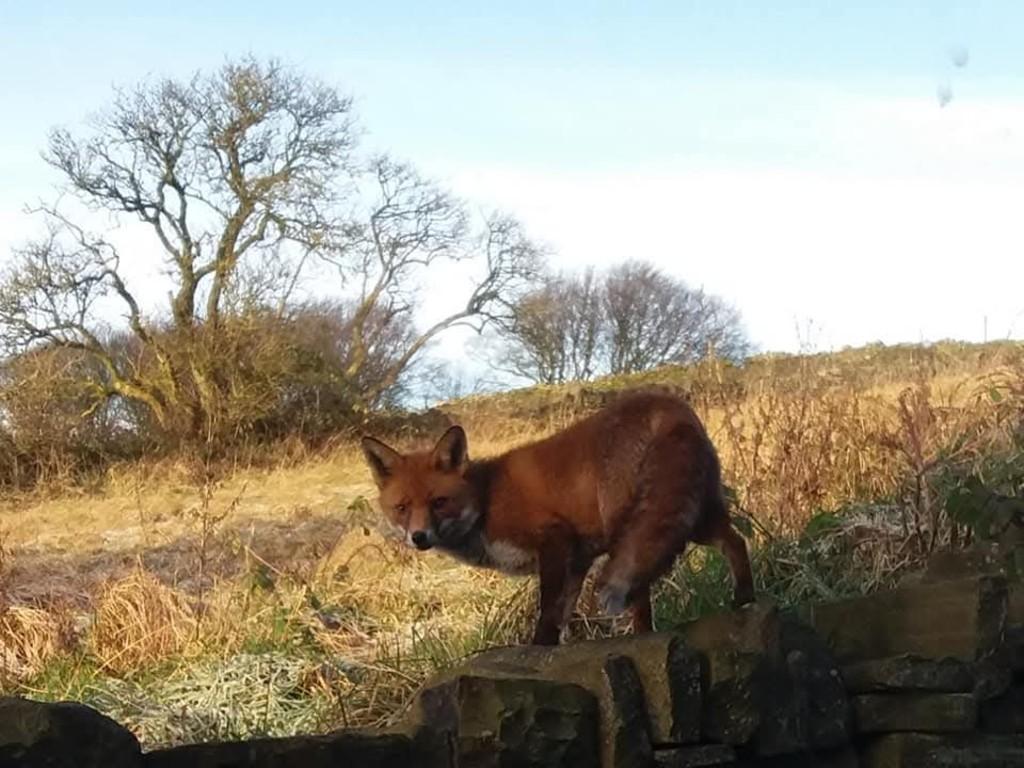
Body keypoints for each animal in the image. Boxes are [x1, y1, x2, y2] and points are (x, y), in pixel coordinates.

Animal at [360, 388, 755, 646]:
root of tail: (668, 405)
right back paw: (745, 600)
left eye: (439, 502)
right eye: (402, 508)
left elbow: (548, 612)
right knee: (737, 542)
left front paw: (537, 652)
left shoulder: (554, 539)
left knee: (642, 592)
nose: (419, 537)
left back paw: (645, 637)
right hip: (691, 516)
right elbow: (563, 615)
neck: (486, 499)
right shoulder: (577, 560)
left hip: (629, 530)